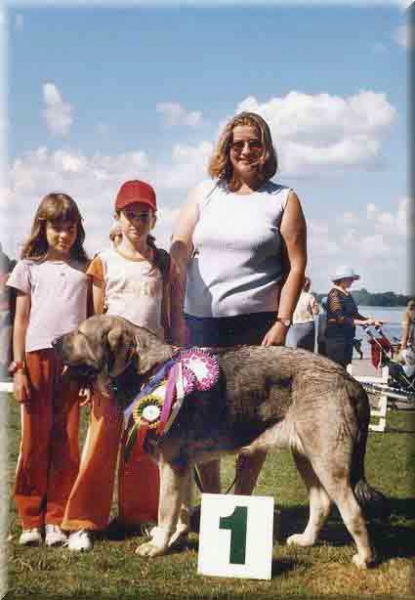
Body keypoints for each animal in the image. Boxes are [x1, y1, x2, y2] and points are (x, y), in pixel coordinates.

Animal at [52, 314, 390, 568]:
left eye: (80, 333)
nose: (53, 342)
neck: (148, 371)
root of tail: (348, 378)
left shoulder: (171, 465)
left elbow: (165, 509)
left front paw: (158, 545)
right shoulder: (182, 466)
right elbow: (181, 509)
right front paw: (175, 538)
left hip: (327, 461)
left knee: (351, 508)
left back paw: (365, 557)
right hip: (306, 456)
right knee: (321, 503)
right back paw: (306, 541)